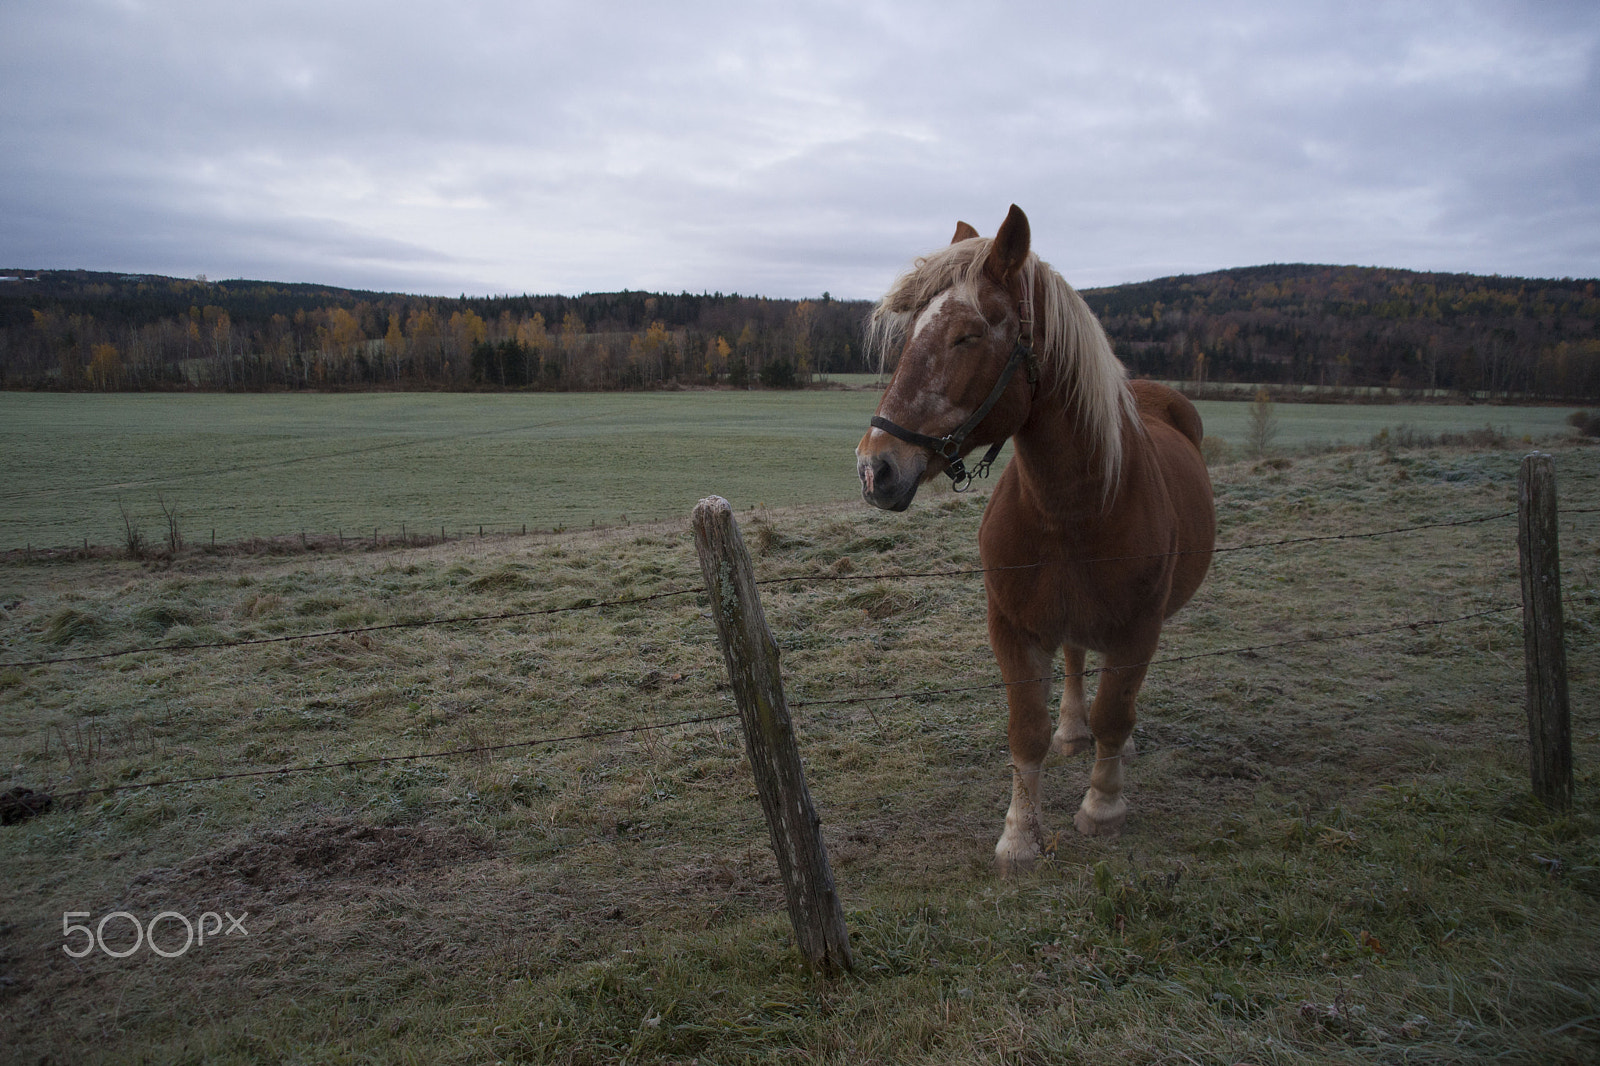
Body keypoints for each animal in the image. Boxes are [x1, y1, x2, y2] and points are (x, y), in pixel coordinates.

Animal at [856, 205, 1215, 875]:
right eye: (912, 331)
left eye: (967, 336)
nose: (875, 469)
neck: (1069, 509)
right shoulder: (1015, 627)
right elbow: (1027, 731)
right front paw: (1020, 836)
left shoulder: (1137, 628)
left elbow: (1115, 713)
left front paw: (1102, 808)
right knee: (1075, 663)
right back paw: (1073, 732)